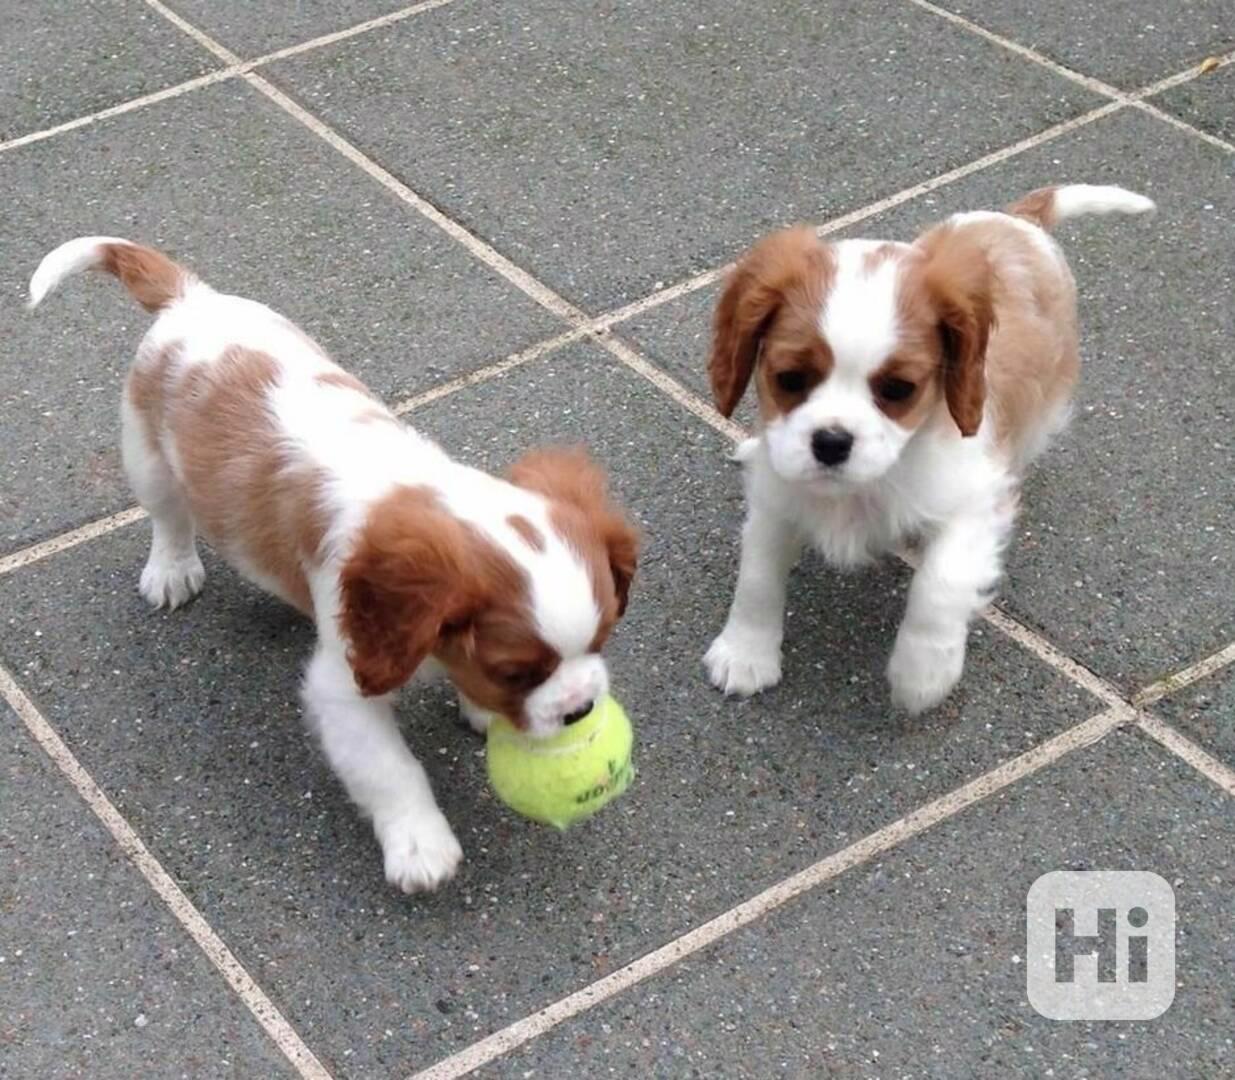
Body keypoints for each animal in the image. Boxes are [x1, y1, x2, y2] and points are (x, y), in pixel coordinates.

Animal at [31, 237, 637, 894]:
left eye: (602, 640)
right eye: (516, 672)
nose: (581, 708)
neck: (414, 496)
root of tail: (192, 298)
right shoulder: (345, 687)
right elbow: (391, 769)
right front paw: (420, 844)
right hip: (146, 455)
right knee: (169, 517)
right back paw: (171, 570)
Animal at [706, 181, 1155, 711]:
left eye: (898, 389)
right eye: (790, 379)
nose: (832, 442)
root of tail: (1020, 220)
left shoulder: (976, 501)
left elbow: (940, 582)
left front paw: (923, 672)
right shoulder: (779, 496)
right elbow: (757, 574)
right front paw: (745, 652)